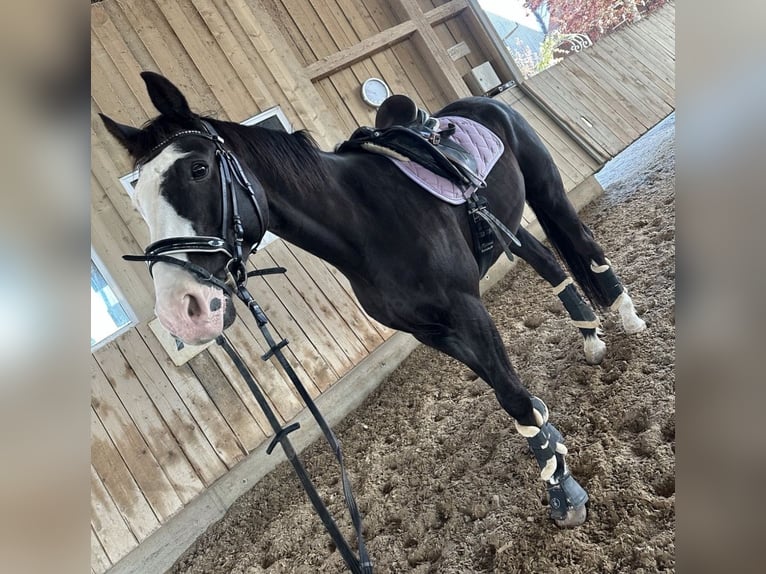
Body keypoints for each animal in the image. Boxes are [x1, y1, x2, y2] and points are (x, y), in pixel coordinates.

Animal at [100, 72, 645, 529]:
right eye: (137, 197)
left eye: (197, 168)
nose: (180, 310)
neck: (367, 221)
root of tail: (484, 104)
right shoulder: (431, 330)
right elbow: (504, 389)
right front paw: (550, 439)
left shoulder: (466, 310)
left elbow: (510, 394)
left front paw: (563, 493)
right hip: (506, 223)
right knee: (550, 262)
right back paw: (591, 338)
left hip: (547, 191)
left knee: (584, 245)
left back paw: (628, 317)